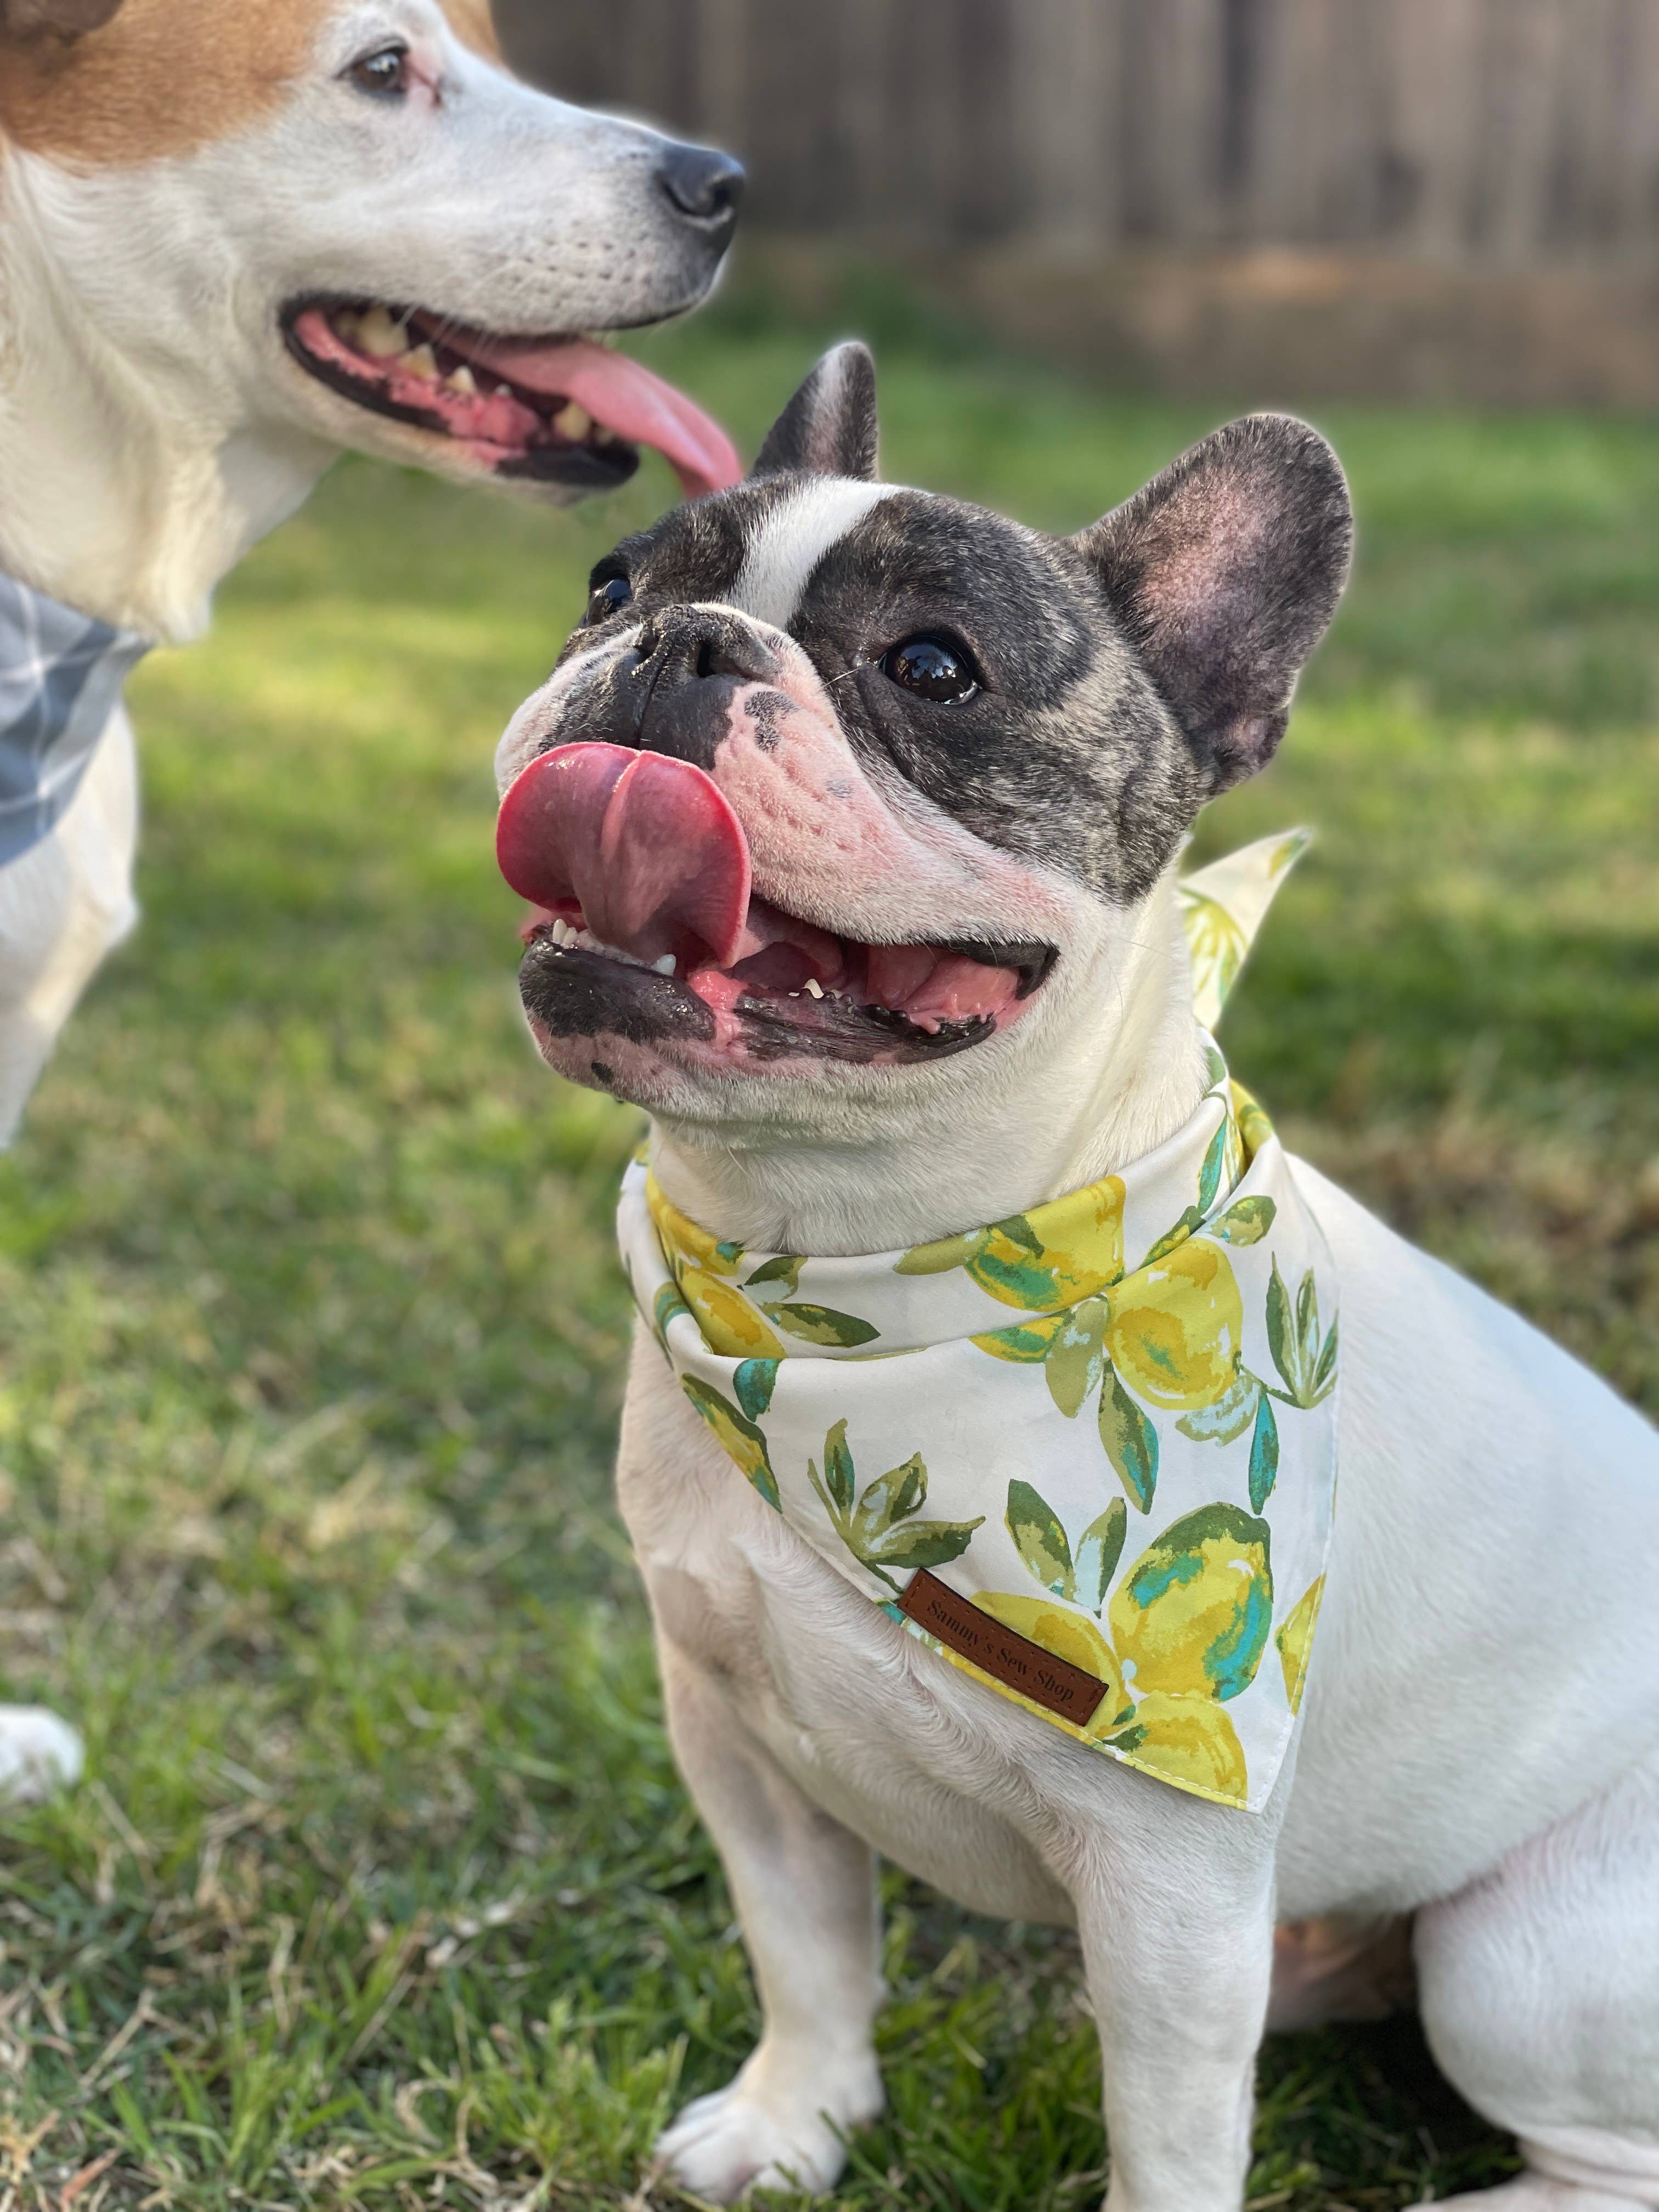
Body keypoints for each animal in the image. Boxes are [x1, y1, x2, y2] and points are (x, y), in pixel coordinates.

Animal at [493, 354, 1659, 2212]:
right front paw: (793, 2124)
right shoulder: (736, 1737)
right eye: (610, 585)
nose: (683, 645)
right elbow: (803, 1949)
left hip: (1525, 1960)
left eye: (933, 668)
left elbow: (1166, 2131)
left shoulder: (1170, 1892)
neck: (845, 1276)